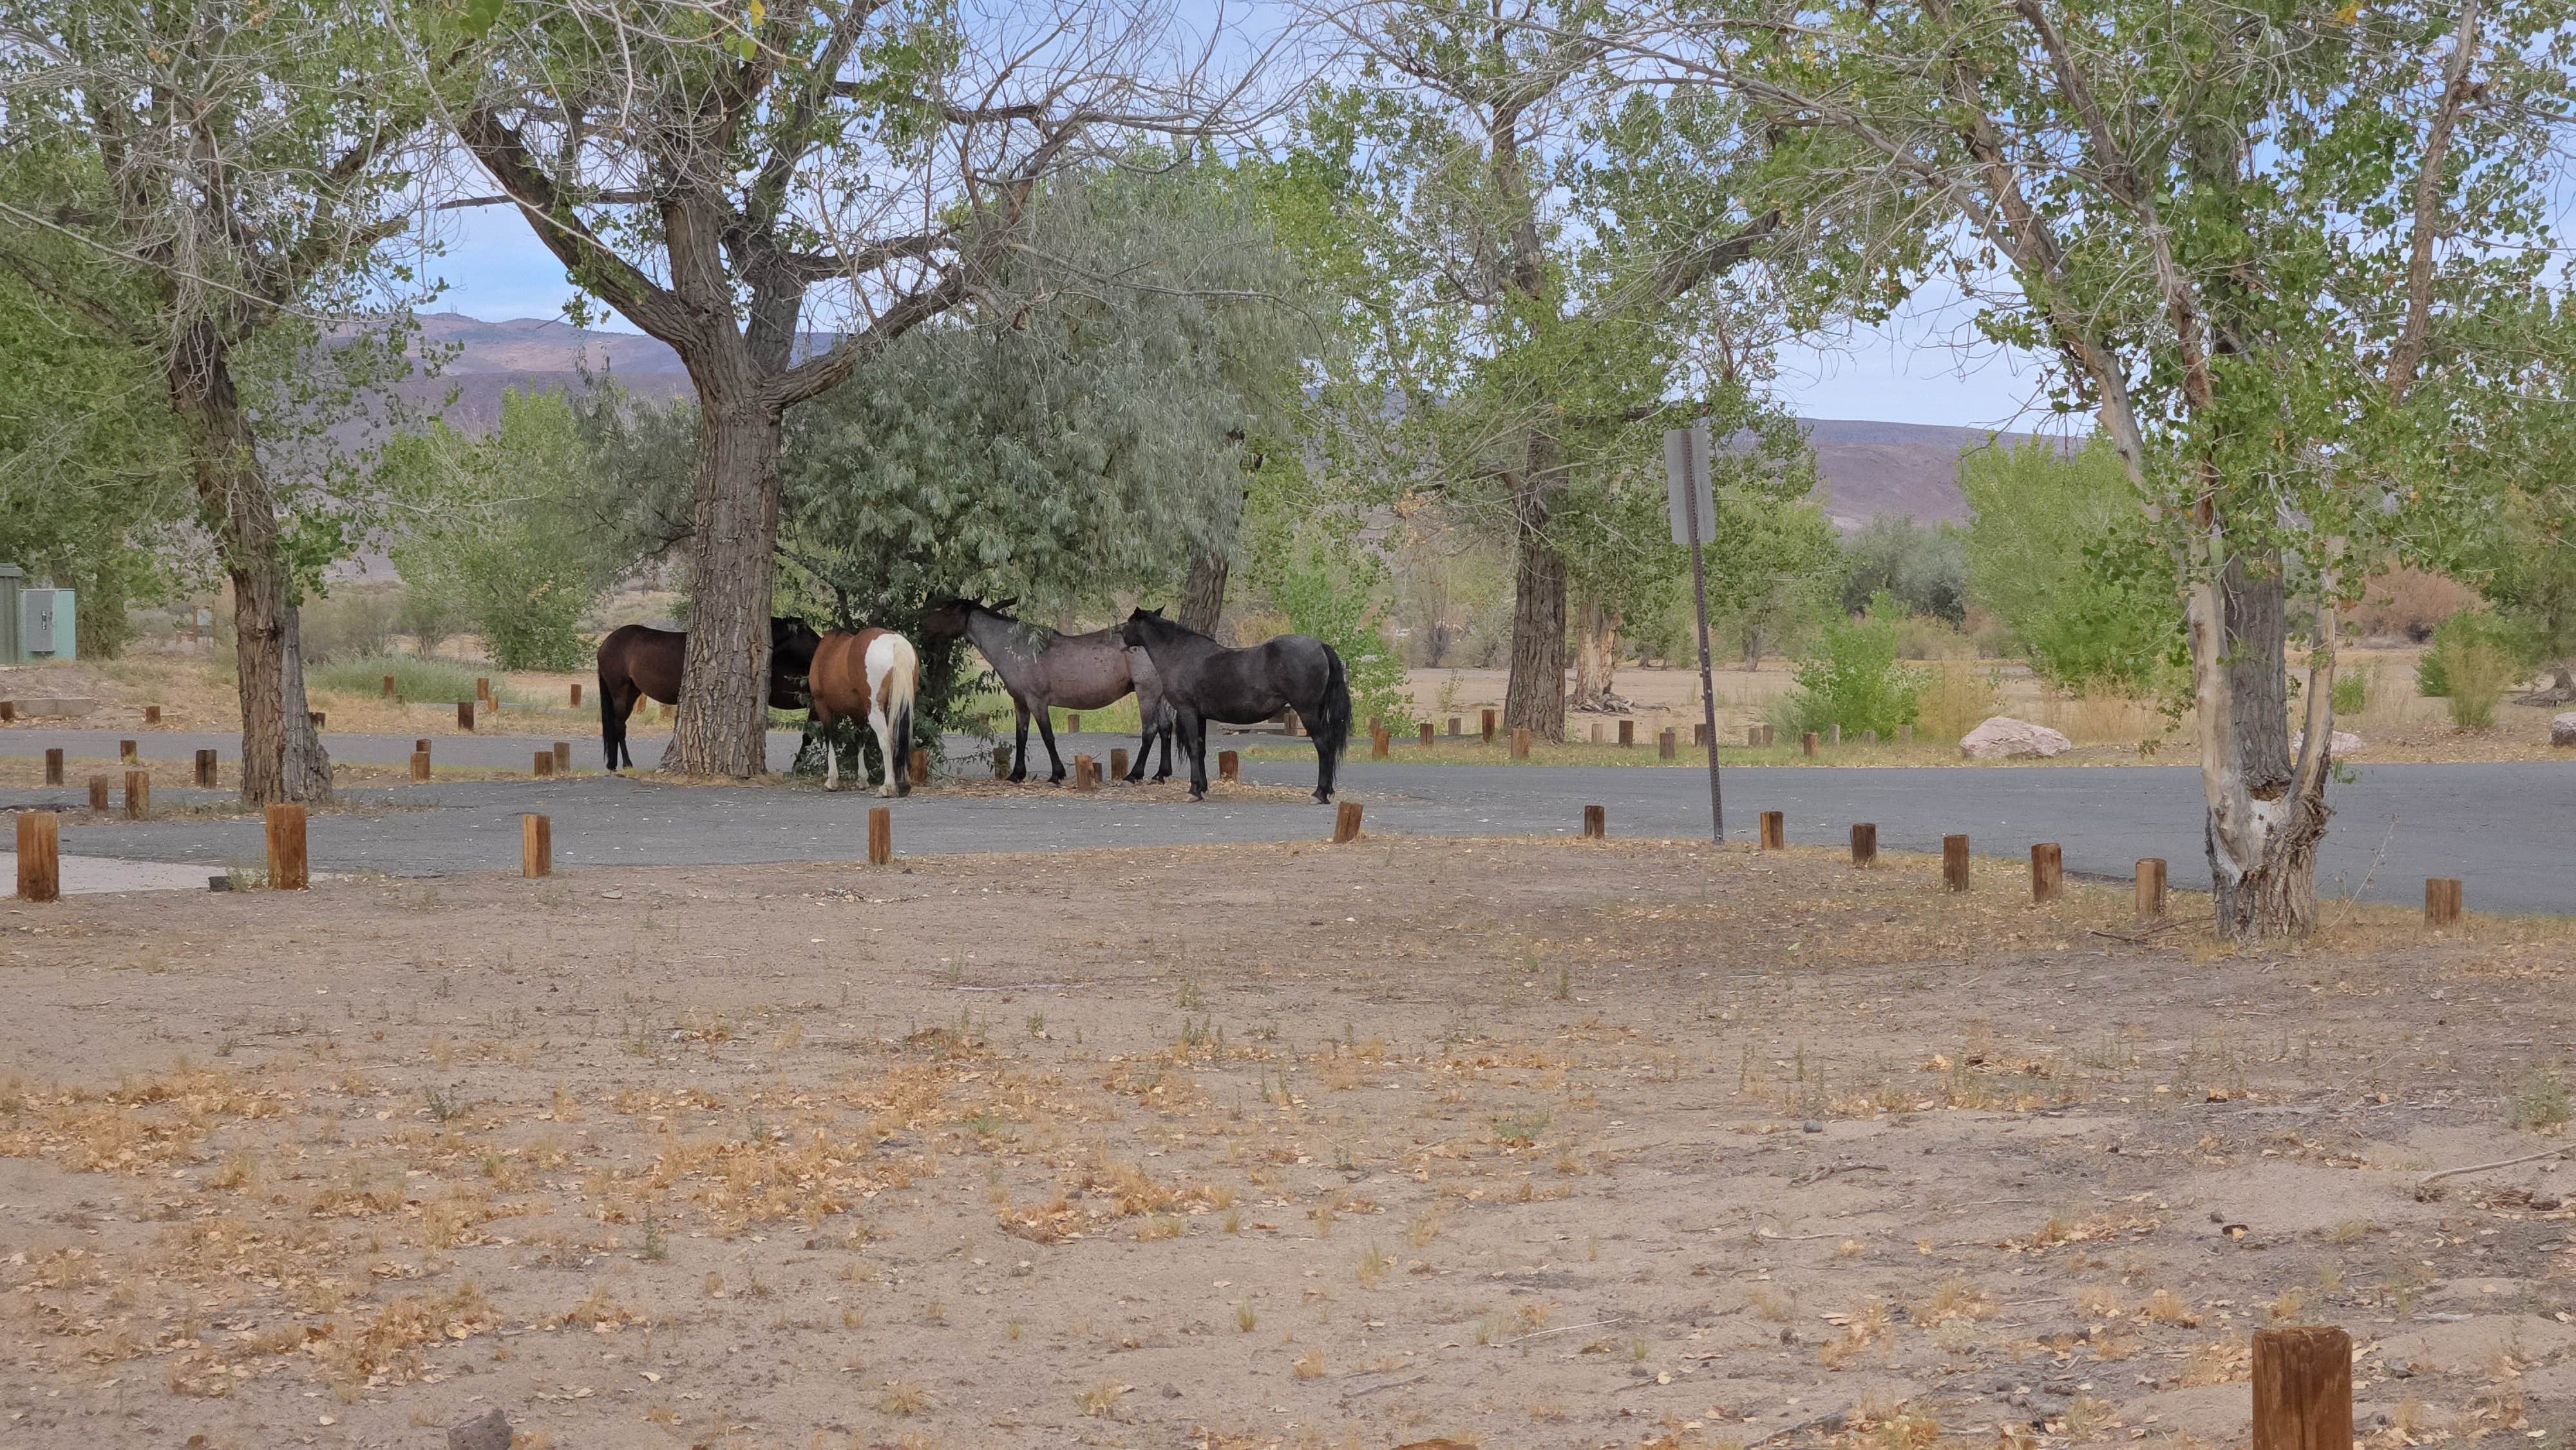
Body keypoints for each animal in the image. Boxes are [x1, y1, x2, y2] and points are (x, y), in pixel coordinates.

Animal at [595, 617, 823, 772]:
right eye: (810, 634)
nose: (822, 646)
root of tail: (605, 645)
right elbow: (809, 736)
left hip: (632, 692)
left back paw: (613, 764)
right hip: (620, 690)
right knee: (619, 726)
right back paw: (626, 764)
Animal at [807, 627, 920, 795]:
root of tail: (895, 642)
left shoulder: (823, 706)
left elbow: (830, 738)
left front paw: (832, 780)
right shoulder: (857, 713)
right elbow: (860, 741)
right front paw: (862, 779)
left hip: (875, 710)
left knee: (886, 740)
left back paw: (887, 787)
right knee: (902, 736)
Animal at [920, 598, 1174, 785]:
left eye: (946, 612)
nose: (923, 628)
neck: (1018, 649)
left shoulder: (1037, 701)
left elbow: (1047, 736)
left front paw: (1056, 775)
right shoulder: (1020, 702)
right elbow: (1021, 736)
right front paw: (1016, 775)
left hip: (1146, 693)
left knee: (1150, 731)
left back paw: (1134, 775)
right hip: (1157, 695)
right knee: (1165, 728)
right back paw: (1161, 774)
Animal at [1117, 607, 1348, 803]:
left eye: (1129, 622)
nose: (1120, 636)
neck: (1180, 654)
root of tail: (1320, 646)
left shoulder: (1187, 711)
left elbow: (1193, 748)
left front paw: (1194, 791)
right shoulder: (1200, 716)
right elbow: (1201, 748)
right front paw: (1202, 788)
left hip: (1307, 712)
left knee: (1323, 745)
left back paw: (1320, 793)